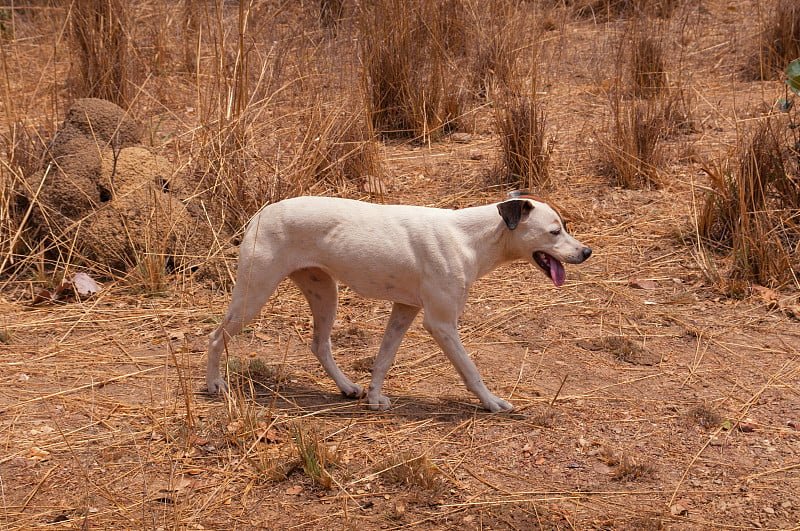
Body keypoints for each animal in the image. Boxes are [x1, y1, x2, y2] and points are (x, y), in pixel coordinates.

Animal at [208, 193, 592, 414]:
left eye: (564, 227)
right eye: (554, 231)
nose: (587, 252)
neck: (471, 238)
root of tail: (261, 213)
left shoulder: (404, 310)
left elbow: (383, 359)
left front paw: (375, 398)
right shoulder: (440, 324)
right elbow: (470, 370)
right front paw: (491, 402)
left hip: (324, 293)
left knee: (320, 344)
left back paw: (347, 387)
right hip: (253, 294)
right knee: (215, 337)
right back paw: (215, 385)